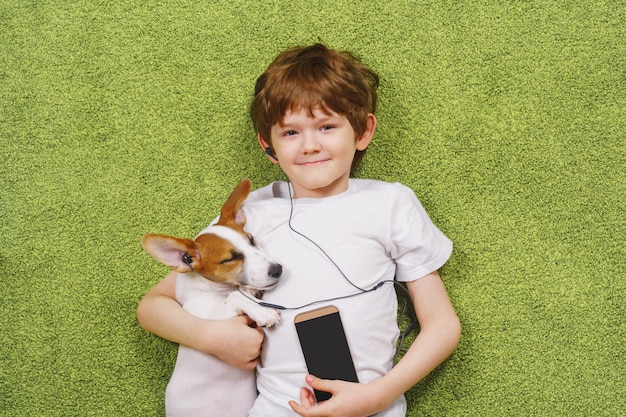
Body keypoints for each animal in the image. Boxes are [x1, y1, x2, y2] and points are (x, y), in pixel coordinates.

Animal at [141, 178, 280, 416]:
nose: (277, 269)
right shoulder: (210, 316)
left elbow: (240, 291)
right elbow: (235, 296)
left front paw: (251, 292)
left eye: (251, 240)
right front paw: (263, 312)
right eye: (229, 259)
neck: (210, 288)